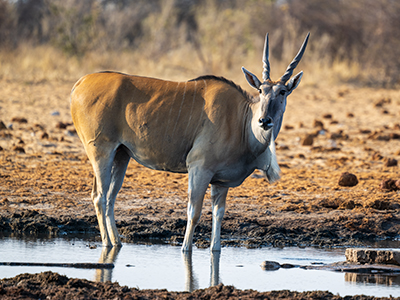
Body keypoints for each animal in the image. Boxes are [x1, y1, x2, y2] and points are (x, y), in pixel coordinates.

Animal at [71, 32, 310, 252]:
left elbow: (218, 216)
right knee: (99, 196)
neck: (241, 121)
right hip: (101, 151)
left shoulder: (220, 183)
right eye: (260, 90)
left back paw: (117, 243)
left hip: (121, 155)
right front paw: (186, 248)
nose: (264, 120)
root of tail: (80, 83)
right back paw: (107, 244)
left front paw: (215, 249)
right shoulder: (199, 168)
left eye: (283, 91)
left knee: (111, 197)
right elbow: (193, 213)